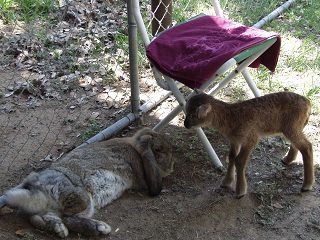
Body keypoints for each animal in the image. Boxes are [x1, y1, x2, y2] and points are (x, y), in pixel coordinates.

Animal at [0, 128, 172, 237]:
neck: (135, 148)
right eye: (159, 150)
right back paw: (99, 228)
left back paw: (57, 229)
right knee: (68, 218)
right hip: (82, 198)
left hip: (55, 209)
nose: (172, 165)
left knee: (39, 218)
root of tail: (38, 190)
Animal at [184, 91, 314, 198]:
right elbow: (231, 157)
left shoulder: (251, 137)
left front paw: (240, 191)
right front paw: (226, 182)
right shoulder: (235, 140)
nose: (185, 124)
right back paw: (287, 160)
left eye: (193, 115)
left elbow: (239, 160)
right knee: (298, 144)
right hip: (294, 127)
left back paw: (306, 186)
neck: (230, 118)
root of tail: (308, 103)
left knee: (307, 146)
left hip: (292, 126)